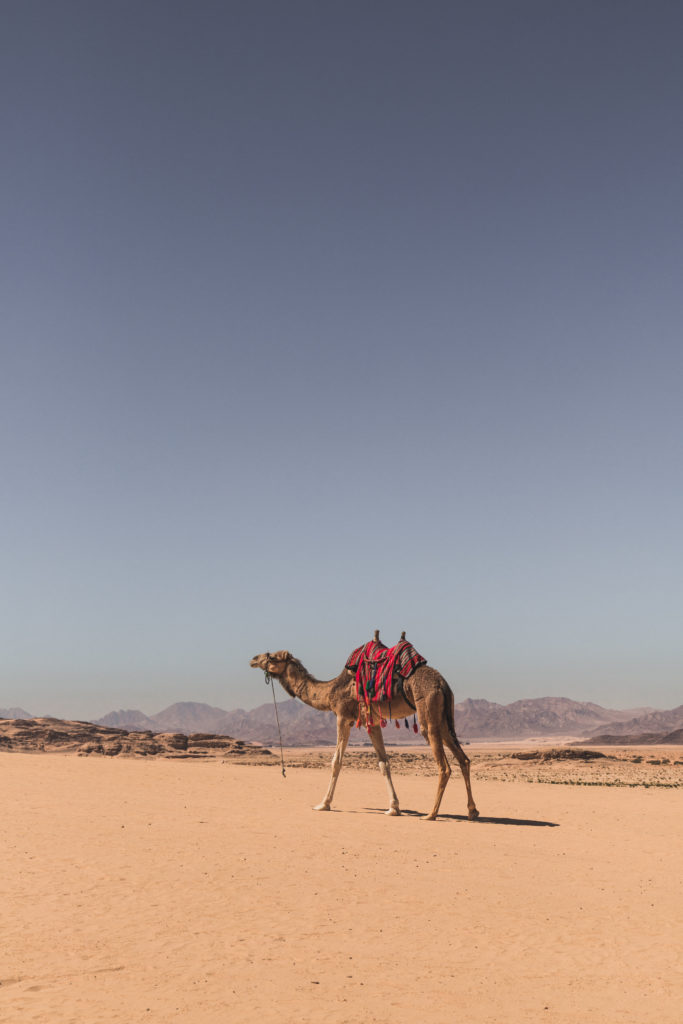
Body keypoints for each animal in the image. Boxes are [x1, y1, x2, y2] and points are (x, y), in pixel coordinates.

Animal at [248, 638, 479, 823]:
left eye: (272, 656)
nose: (253, 659)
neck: (331, 690)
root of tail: (442, 684)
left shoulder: (343, 716)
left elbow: (336, 762)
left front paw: (323, 804)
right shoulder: (373, 722)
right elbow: (383, 763)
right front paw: (393, 808)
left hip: (427, 713)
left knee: (444, 766)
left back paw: (431, 814)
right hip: (444, 718)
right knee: (464, 760)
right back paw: (472, 811)